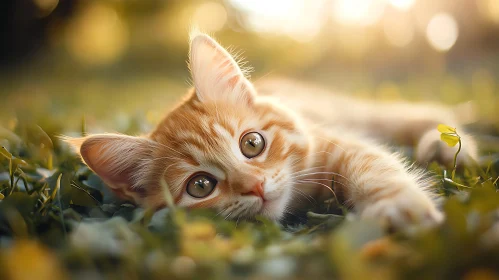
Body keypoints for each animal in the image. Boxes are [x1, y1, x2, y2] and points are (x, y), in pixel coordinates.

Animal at [64, 32, 478, 230]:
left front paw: (397, 206)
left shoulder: (342, 143)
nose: (256, 186)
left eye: (252, 144)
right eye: (201, 186)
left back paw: (444, 145)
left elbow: (376, 170)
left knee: (422, 112)